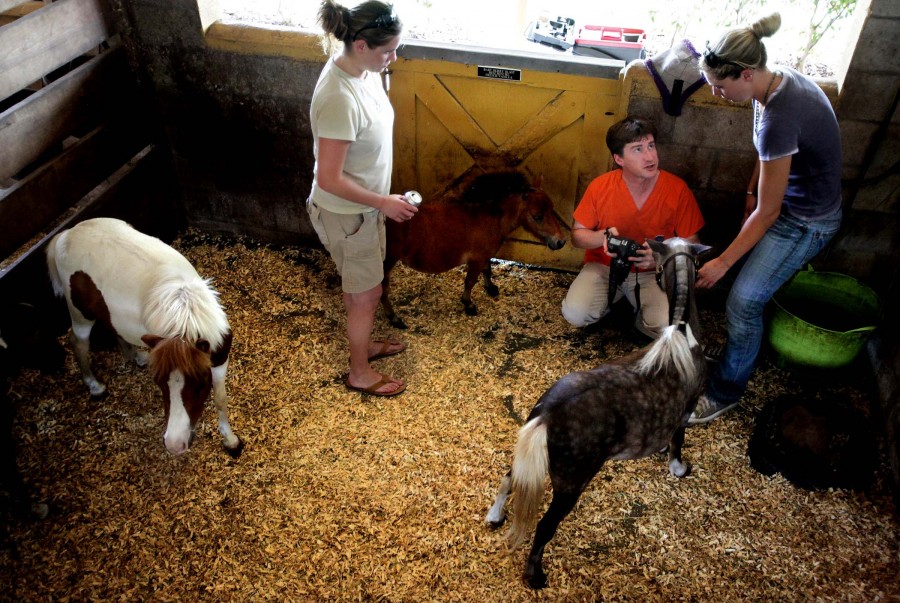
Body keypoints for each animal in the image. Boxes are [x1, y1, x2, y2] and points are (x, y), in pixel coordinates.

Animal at [45, 217, 243, 458]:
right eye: (158, 382)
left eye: (199, 384)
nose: (174, 445)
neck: (185, 316)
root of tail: (66, 234)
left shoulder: (220, 359)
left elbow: (221, 399)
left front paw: (231, 441)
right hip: (80, 314)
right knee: (79, 343)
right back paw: (95, 386)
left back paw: (136, 357)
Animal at [486, 236, 712, 588]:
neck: (680, 334)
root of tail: (547, 416)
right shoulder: (687, 407)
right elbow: (678, 440)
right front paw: (679, 468)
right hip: (571, 481)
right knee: (545, 526)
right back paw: (536, 577)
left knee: (509, 478)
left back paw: (495, 516)